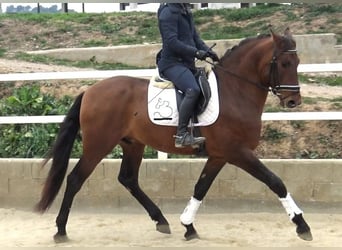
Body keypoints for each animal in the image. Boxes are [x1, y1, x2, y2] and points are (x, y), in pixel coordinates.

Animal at [34, 28, 312, 243]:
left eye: (298, 62)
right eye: (284, 63)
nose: (293, 101)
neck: (236, 91)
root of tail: (90, 90)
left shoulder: (219, 155)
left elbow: (200, 187)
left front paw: (188, 226)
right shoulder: (238, 152)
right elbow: (275, 181)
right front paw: (301, 225)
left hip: (133, 144)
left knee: (128, 179)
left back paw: (161, 220)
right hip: (98, 145)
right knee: (75, 179)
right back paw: (60, 231)